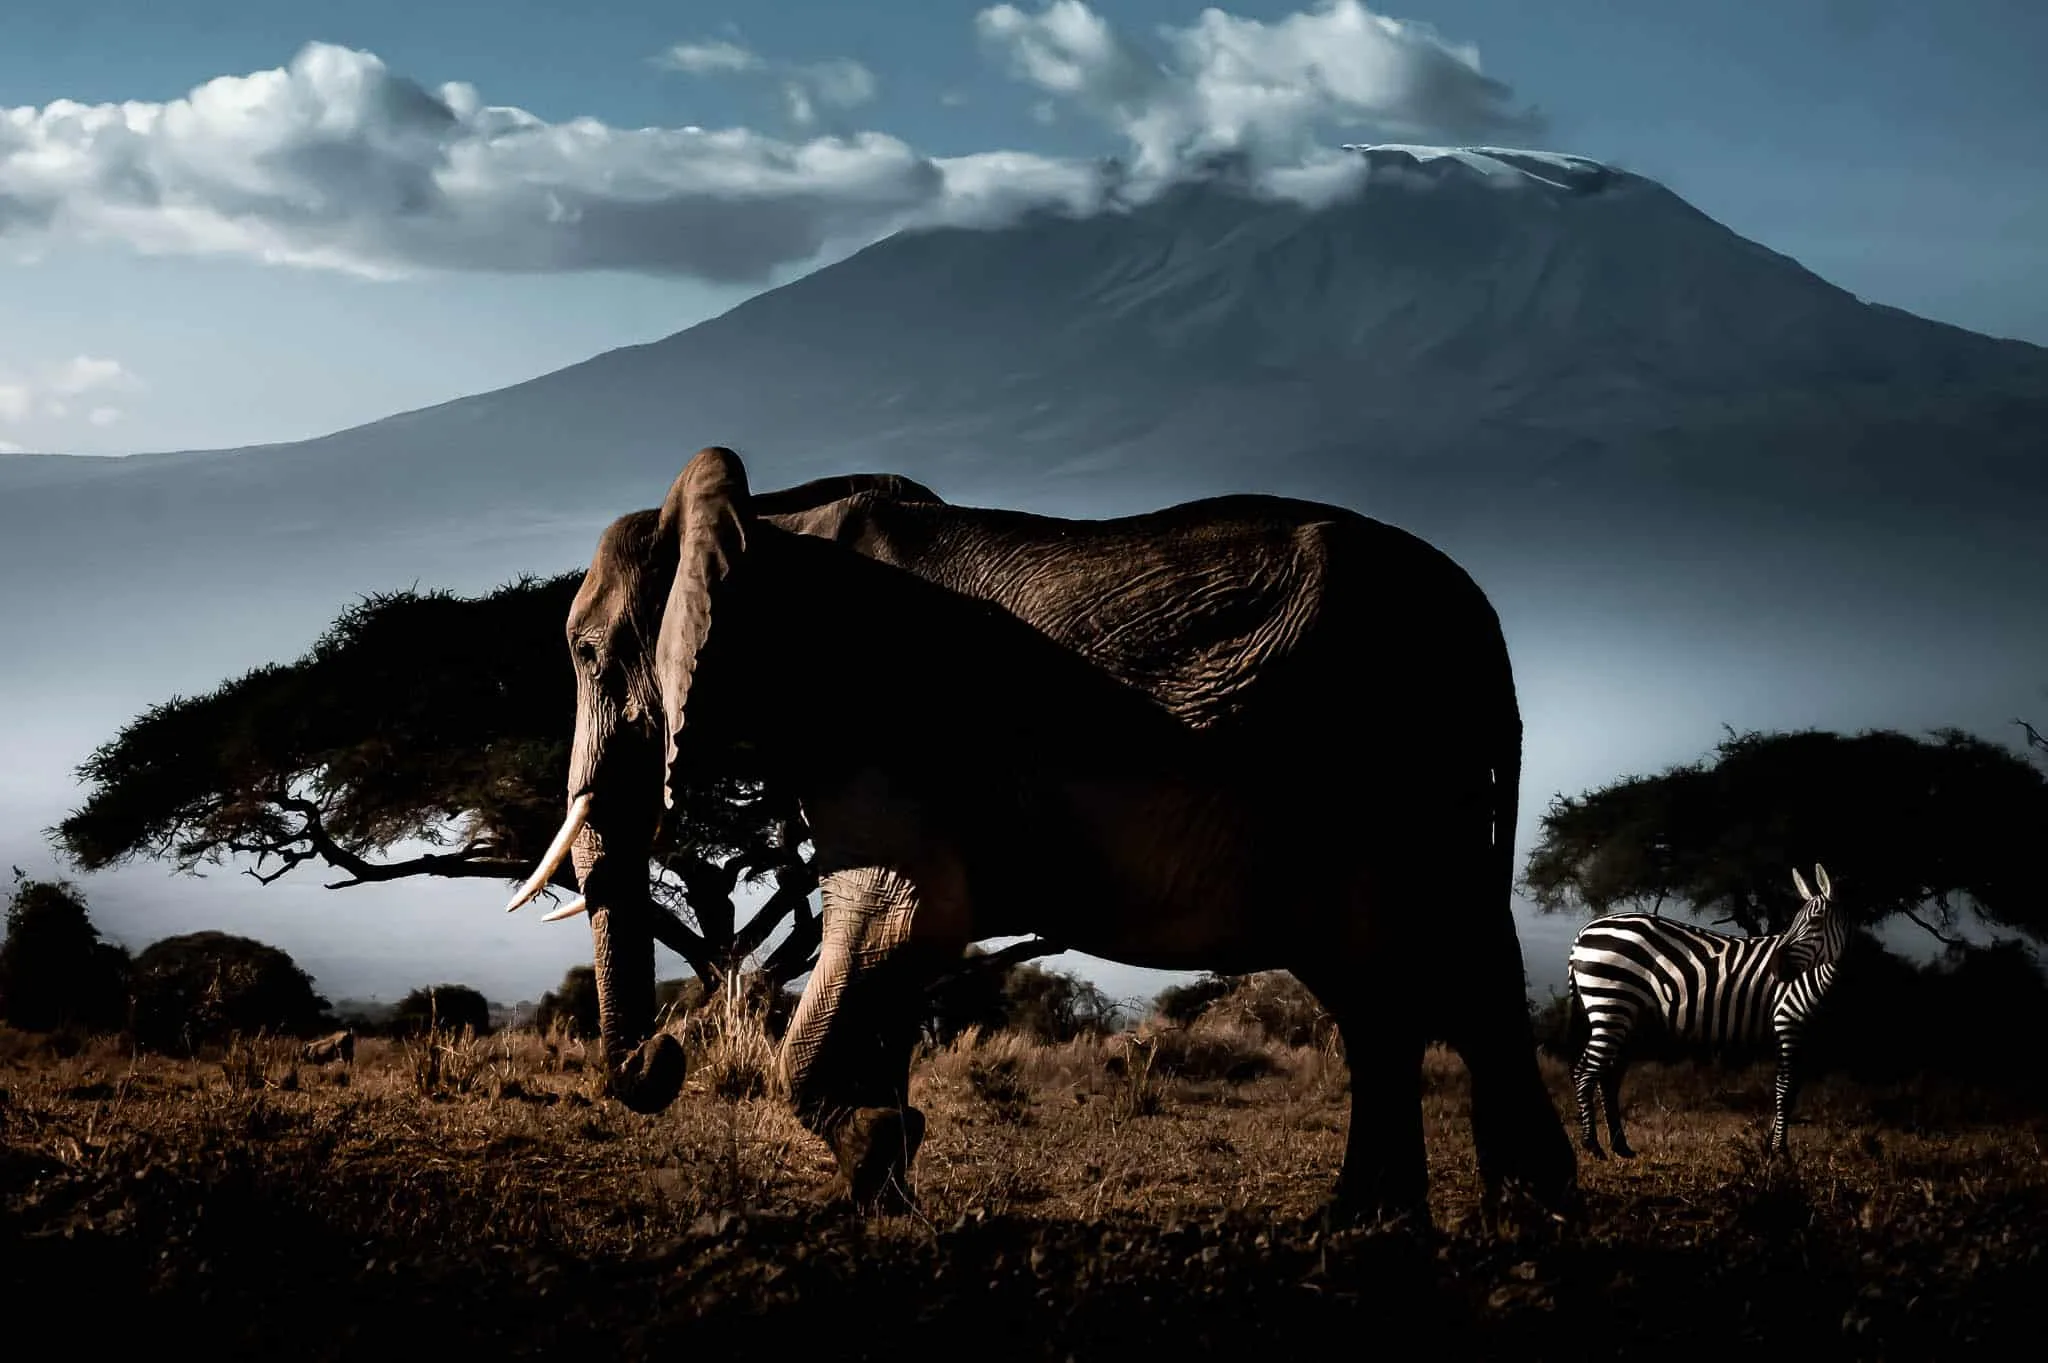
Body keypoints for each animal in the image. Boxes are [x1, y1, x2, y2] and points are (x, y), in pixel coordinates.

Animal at [505, 445, 1577, 1228]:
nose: (662, 1057)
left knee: (1449, 963)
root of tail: (1485, 623)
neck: (767, 523)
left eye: (589, 654)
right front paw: (881, 1196)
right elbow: (898, 951)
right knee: (1377, 991)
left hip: (1399, 753)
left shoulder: (885, 716)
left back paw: (1525, 1224)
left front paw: (880, 1146)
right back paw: (1369, 1224)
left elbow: (899, 917)